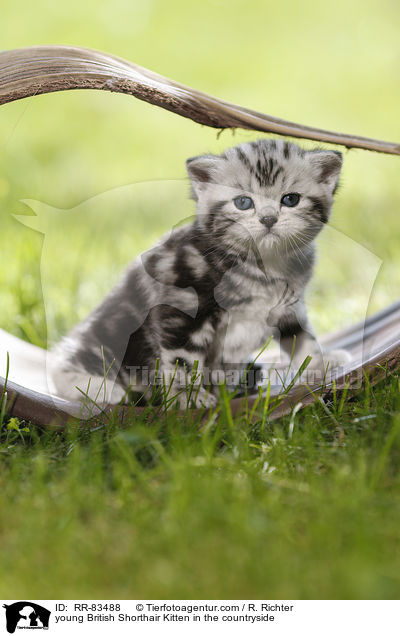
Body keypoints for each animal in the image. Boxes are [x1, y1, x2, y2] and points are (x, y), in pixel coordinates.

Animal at [49, 139, 350, 410]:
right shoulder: (182, 304)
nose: (268, 219)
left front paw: (321, 364)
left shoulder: (288, 306)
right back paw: (103, 388)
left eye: (290, 199)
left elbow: (301, 337)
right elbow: (182, 360)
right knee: (65, 365)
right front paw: (187, 397)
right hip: (110, 334)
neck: (263, 267)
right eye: (243, 202)